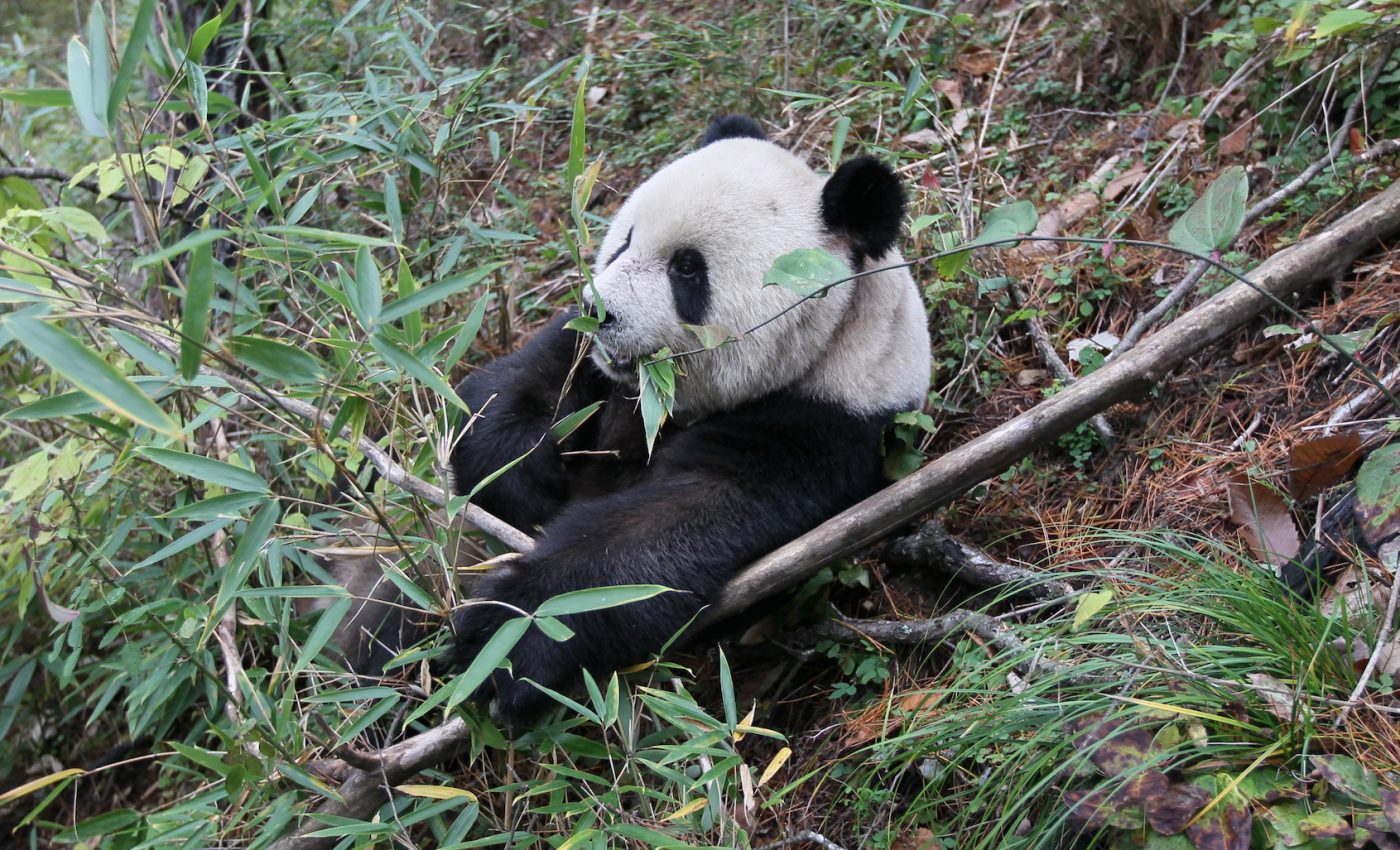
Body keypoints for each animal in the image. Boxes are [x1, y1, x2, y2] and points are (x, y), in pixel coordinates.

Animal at [443, 114, 931, 721]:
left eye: (687, 269)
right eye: (624, 241)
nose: (599, 311)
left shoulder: (821, 425)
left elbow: (672, 526)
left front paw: (514, 632)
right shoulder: (598, 370)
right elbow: (523, 381)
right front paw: (517, 477)